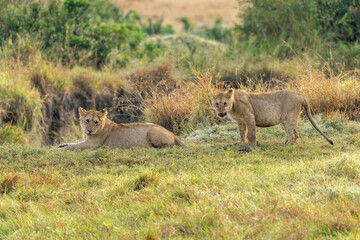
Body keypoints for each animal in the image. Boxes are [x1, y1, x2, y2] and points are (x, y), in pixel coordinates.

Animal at [58, 107, 186, 150]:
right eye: (87, 120)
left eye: (96, 122)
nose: (90, 130)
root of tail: (173, 134)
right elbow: (73, 143)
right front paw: (62, 144)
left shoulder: (92, 144)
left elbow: (75, 146)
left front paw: (61, 149)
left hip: (152, 130)